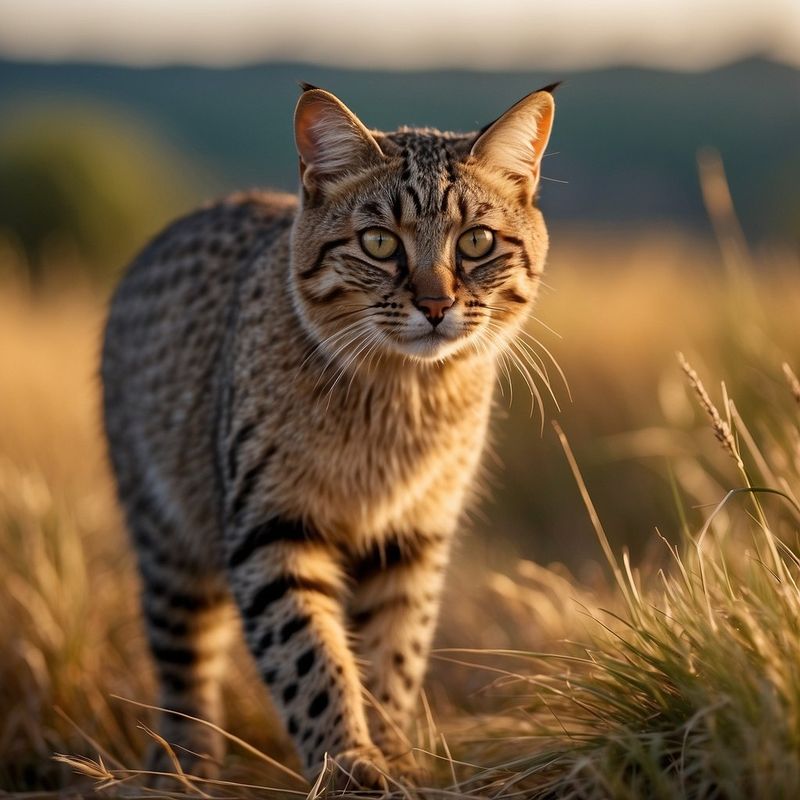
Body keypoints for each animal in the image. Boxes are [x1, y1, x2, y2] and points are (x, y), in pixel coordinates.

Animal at [100, 83, 556, 788]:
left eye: (477, 242)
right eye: (379, 243)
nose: (435, 304)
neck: (400, 394)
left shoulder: (412, 535)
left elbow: (395, 654)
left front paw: (393, 755)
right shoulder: (272, 527)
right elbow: (310, 659)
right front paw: (348, 761)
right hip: (167, 534)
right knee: (184, 667)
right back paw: (184, 768)